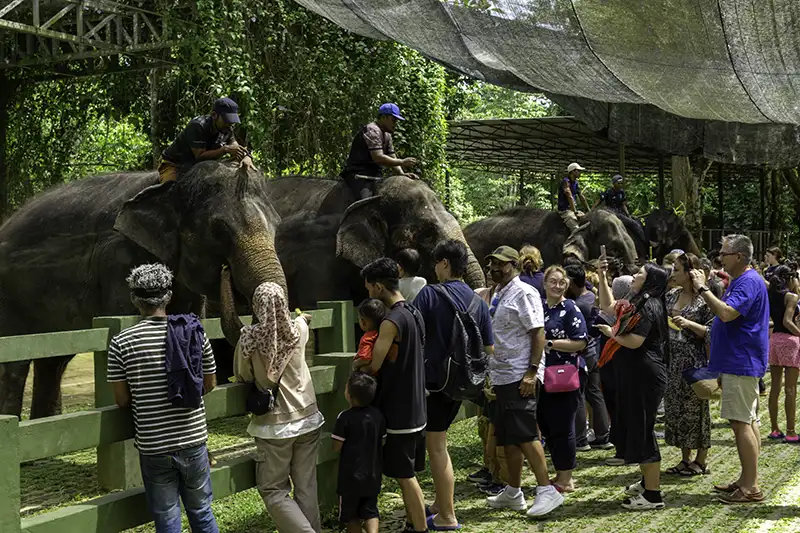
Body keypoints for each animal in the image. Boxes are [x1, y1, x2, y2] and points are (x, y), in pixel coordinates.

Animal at [0, 161, 286, 419]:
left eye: (277, 224)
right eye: (218, 229)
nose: (226, 272)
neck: (171, 186)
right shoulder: (119, 262)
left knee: (53, 361)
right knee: (15, 362)